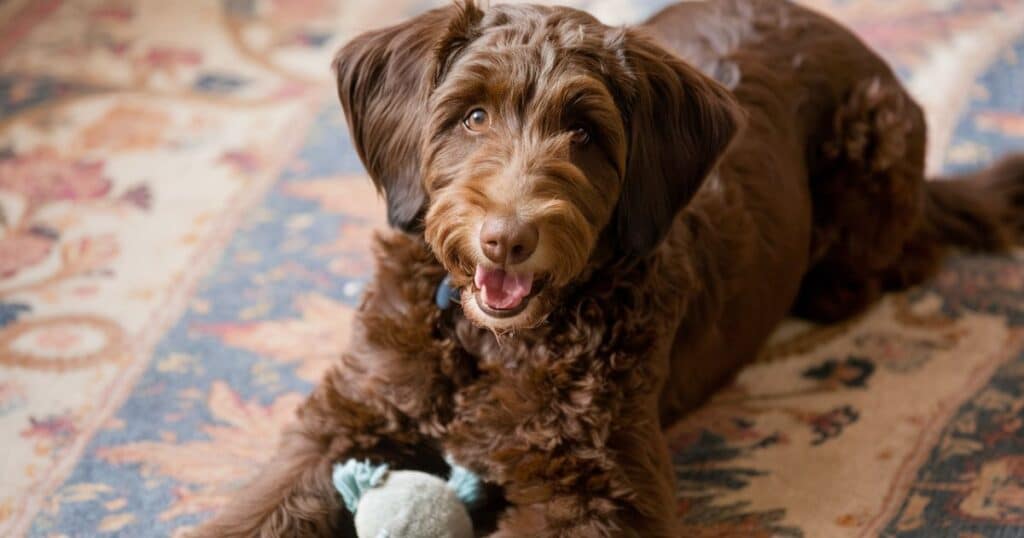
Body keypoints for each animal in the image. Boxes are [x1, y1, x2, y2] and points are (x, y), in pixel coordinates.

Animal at [195, 0, 1024, 532]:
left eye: (585, 133)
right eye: (472, 115)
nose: (506, 239)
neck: (489, 343)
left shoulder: (594, 486)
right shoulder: (350, 417)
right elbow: (265, 505)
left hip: (876, 136)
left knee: (903, 253)